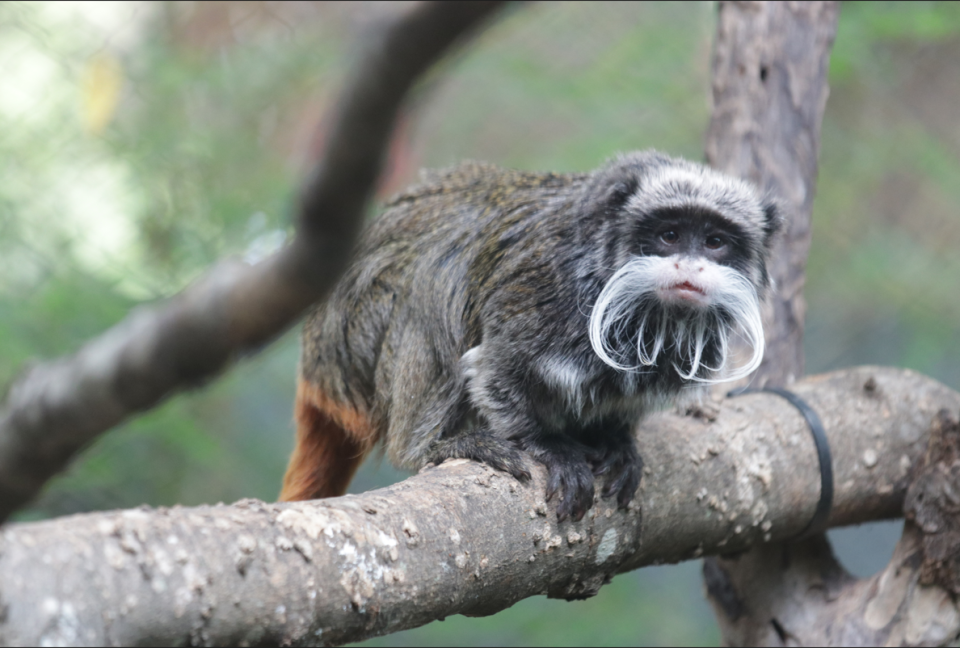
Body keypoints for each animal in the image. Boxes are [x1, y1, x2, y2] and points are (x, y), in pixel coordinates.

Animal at [278, 151, 780, 520]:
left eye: (715, 242)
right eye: (669, 235)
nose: (691, 267)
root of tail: (315, 364)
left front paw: (617, 440)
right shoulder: (541, 292)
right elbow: (494, 371)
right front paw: (550, 447)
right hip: (355, 339)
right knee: (434, 281)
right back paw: (432, 445)